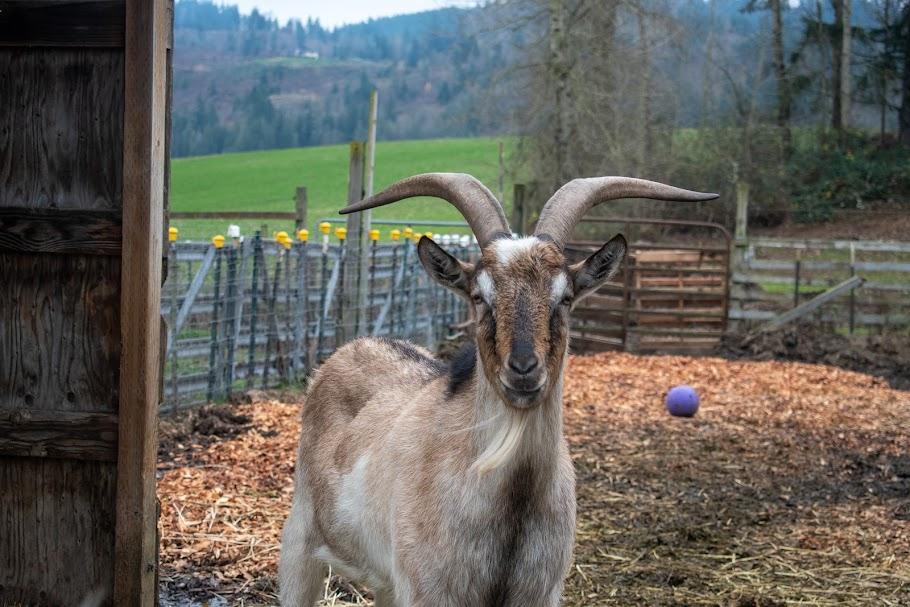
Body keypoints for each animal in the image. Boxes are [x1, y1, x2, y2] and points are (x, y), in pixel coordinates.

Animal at [279, 173, 717, 606]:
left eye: (565, 298)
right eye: (479, 296)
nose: (523, 368)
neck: (512, 504)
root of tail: (352, 347)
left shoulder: (540, 592)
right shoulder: (428, 590)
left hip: (385, 582)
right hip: (300, 543)